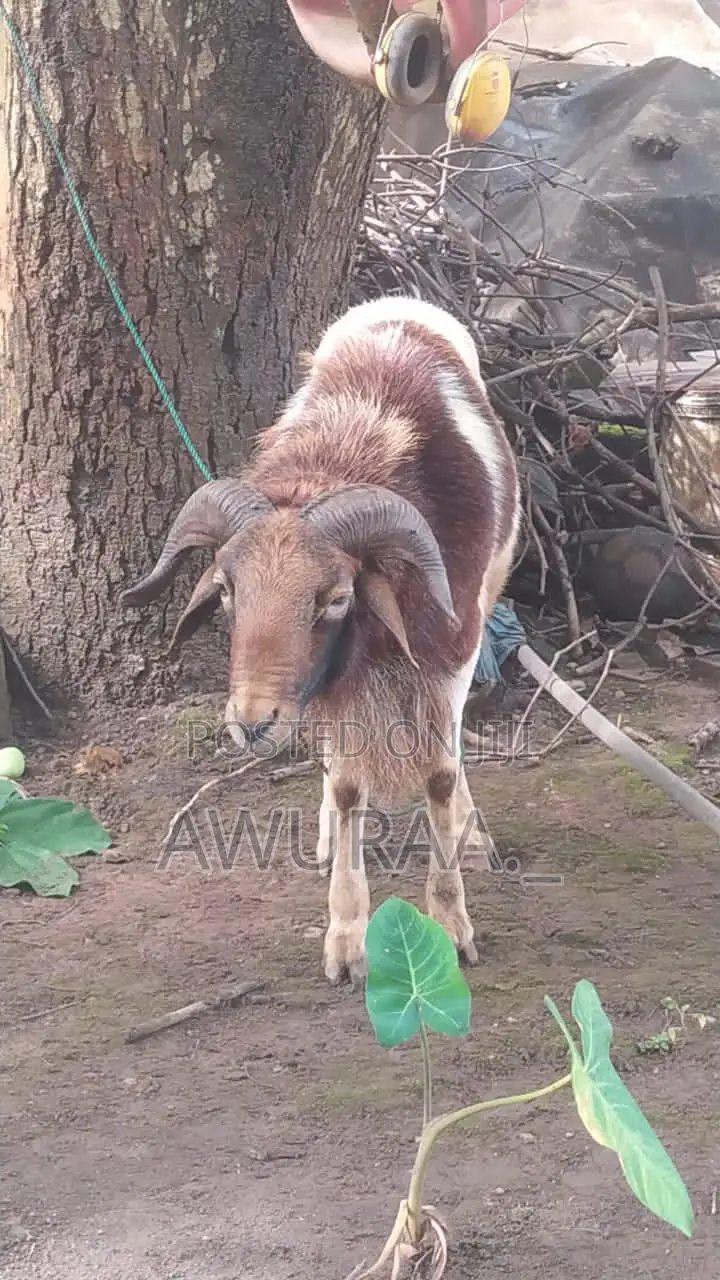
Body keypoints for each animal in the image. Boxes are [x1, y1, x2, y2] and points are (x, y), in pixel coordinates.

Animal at [121, 295, 521, 986]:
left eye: (336, 598)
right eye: (226, 590)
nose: (253, 723)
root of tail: (396, 301)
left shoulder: (453, 650)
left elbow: (441, 776)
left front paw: (451, 928)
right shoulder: (337, 690)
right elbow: (348, 787)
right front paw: (347, 943)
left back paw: (472, 839)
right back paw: (330, 838)